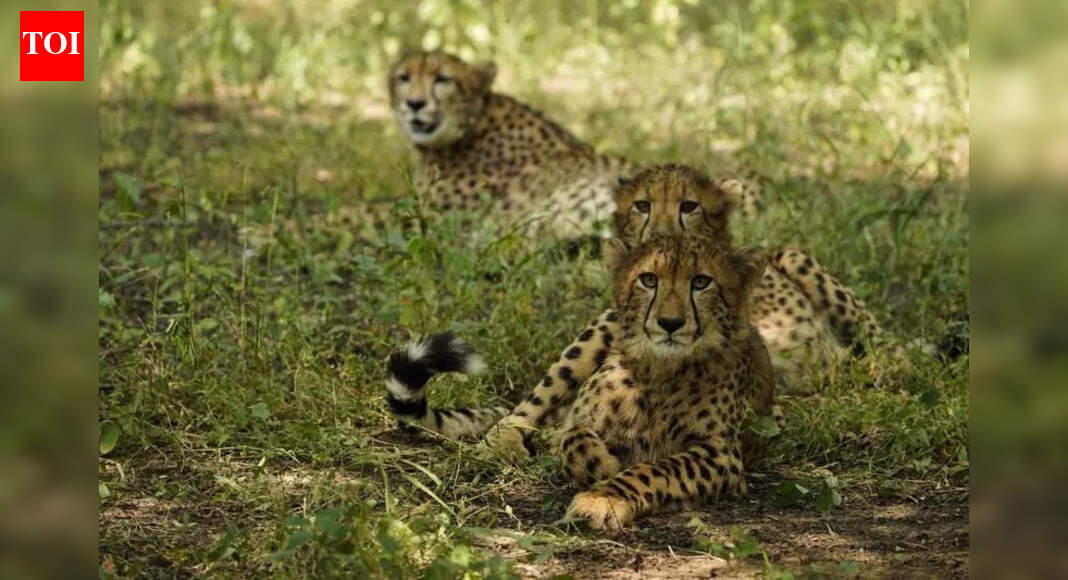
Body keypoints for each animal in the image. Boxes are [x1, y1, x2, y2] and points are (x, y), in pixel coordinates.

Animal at [383, 164, 880, 461]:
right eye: (642, 205)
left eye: (689, 206)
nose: (657, 238)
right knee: (529, 406)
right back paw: (506, 441)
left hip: (796, 258)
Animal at [387, 234, 775, 529]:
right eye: (649, 279)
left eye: (701, 282)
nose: (669, 323)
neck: (659, 369)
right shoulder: (580, 418)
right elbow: (574, 435)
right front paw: (601, 466)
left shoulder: (721, 453)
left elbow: (656, 468)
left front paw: (604, 497)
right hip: (596, 332)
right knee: (520, 414)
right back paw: (506, 445)